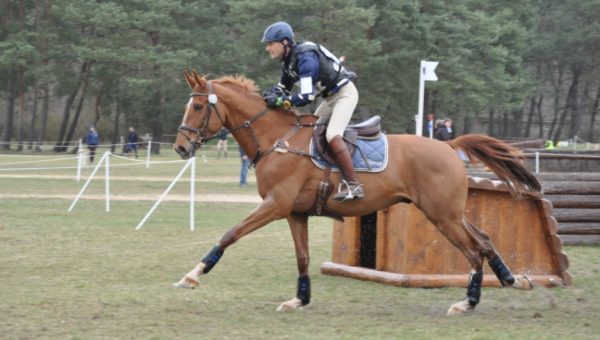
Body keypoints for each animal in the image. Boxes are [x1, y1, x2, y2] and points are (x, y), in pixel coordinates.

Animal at [172, 71, 540, 316]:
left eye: (199, 108)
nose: (180, 148)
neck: (276, 139)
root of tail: (449, 146)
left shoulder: (275, 205)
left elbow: (230, 234)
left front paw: (193, 274)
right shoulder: (295, 212)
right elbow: (302, 257)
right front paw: (300, 299)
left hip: (442, 215)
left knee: (474, 250)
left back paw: (469, 301)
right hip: (449, 213)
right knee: (484, 239)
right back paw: (511, 279)